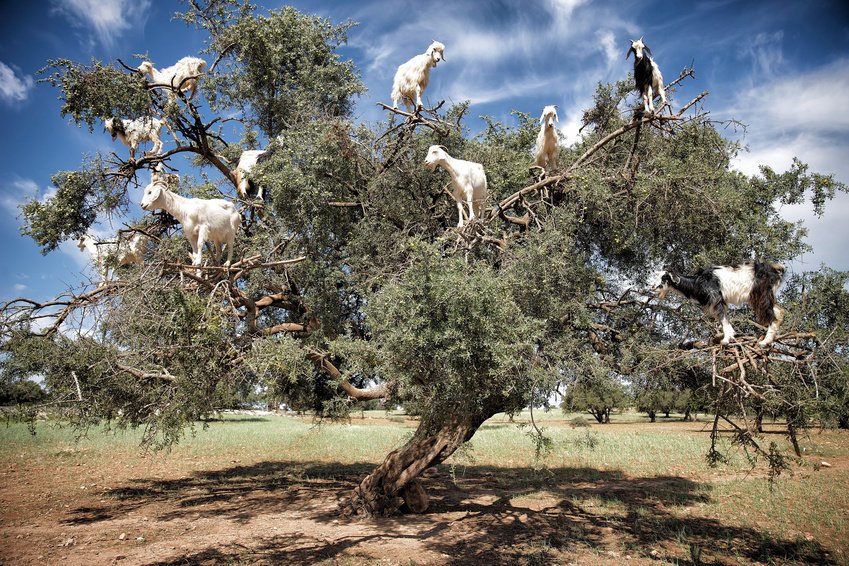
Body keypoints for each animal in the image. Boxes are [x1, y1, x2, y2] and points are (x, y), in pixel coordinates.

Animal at [656, 262, 788, 350]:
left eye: (664, 278)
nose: (653, 288)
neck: (697, 282)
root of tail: (776, 271)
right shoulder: (721, 301)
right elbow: (723, 318)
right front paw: (730, 336)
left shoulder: (716, 298)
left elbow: (722, 318)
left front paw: (725, 340)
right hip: (765, 297)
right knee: (779, 311)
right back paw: (767, 341)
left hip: (762, 295)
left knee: (772, 315)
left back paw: (764, 342)